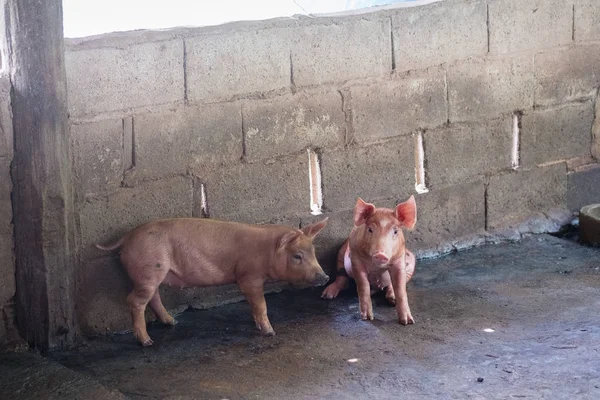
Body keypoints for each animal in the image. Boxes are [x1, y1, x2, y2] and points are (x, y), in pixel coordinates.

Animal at [96, 217, 330, 346]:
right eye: (297, 256)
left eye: (313, 252)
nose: (325, 276)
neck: (267, 252)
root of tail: (127, 237)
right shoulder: (249, 277)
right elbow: (260, 304)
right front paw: (270, 332)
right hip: (149, 270)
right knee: (135, 301)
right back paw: (147, 342)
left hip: (154, 273)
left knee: (153, 297)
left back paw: (173, 322)